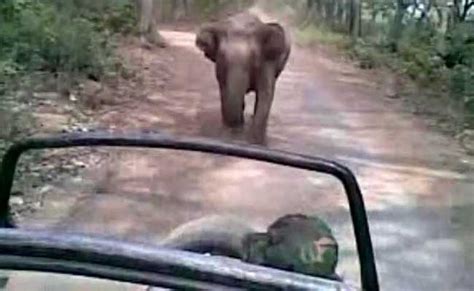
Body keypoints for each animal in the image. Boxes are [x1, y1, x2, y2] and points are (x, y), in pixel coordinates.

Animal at [194, 12, 290, 144]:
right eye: (222, 56)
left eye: (254, 56)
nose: (235, 129)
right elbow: (224, 90)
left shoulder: (267, 63)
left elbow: (266, 93)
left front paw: (257, 141)